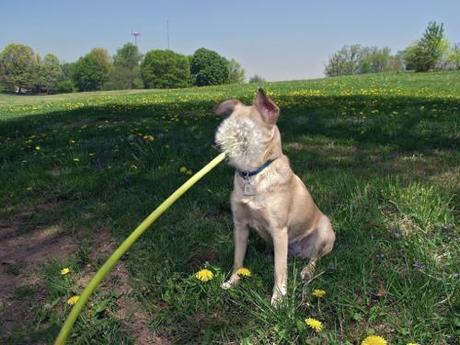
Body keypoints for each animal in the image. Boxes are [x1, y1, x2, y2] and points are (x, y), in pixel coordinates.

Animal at [214, 88, 336, 304]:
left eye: (245, 131)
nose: (219, 147)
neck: (253, 174)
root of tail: (297, 253)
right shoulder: (240, 225)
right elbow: (238, 259)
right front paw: (232, 282)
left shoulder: (279, 230)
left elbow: (279, 271)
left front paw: (278, 299)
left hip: (324, 230)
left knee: (315, 257)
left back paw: (306, 270)